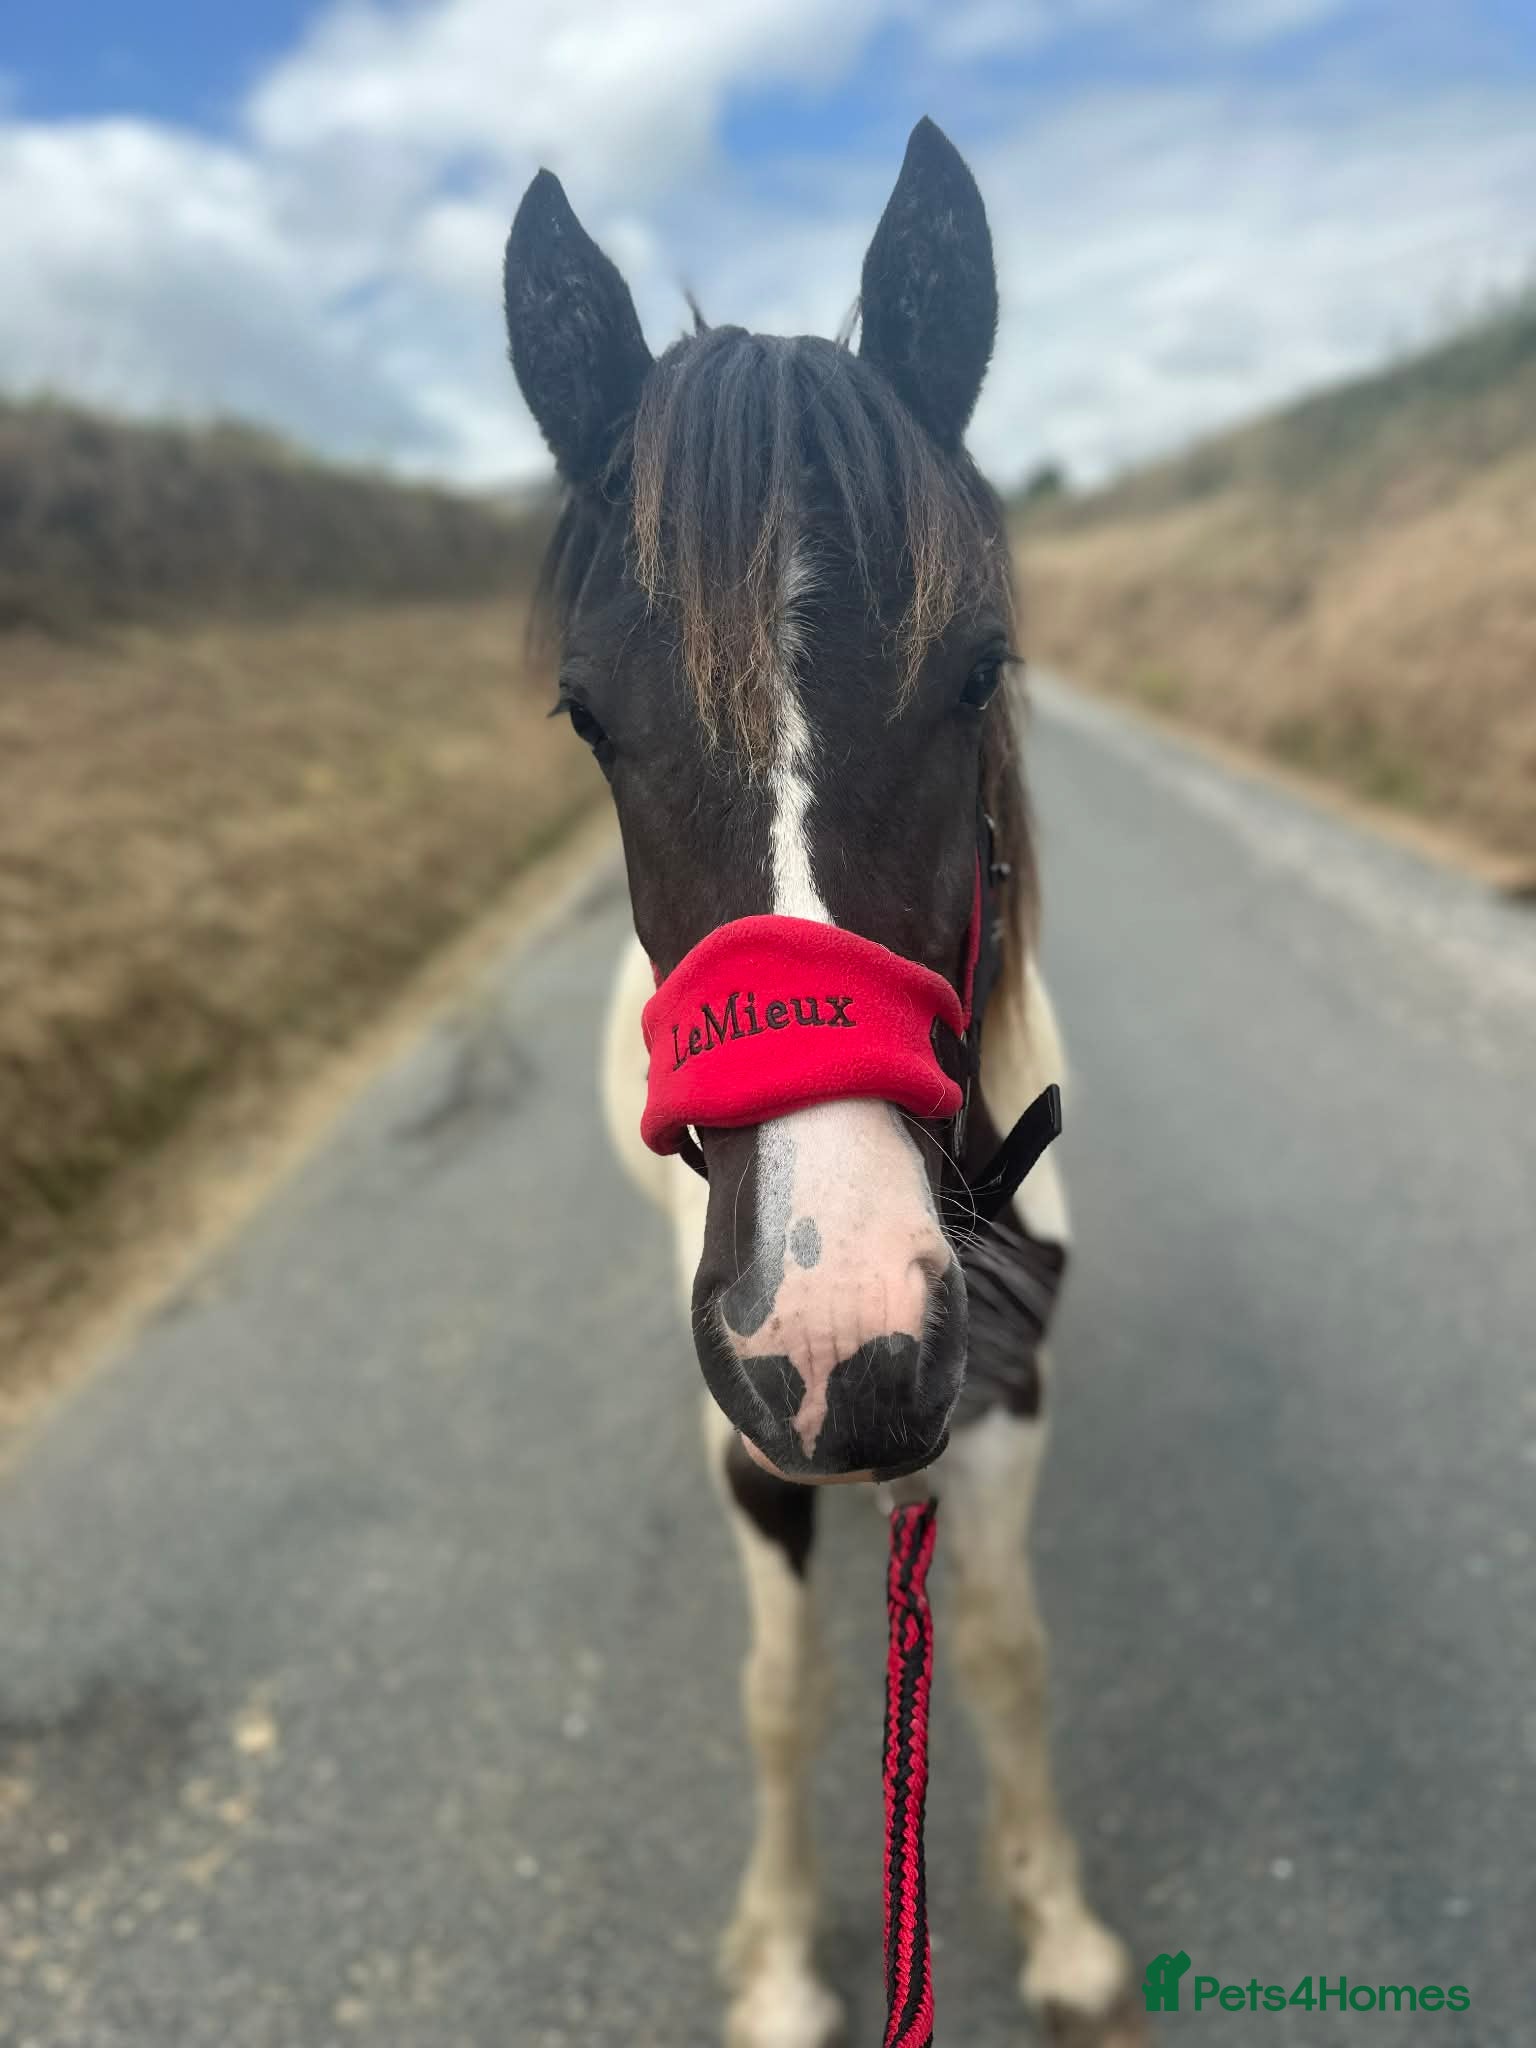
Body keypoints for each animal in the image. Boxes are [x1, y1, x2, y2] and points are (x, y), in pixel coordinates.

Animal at [504, 117, 1144, 2048]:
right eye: (588, 717)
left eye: (979, 670)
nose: (834, 1337)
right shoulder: (756, 1450)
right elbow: (778, 1691)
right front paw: (785, 1957)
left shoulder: (998, 1392)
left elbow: (1004, 1649)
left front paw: (1057, 1920)